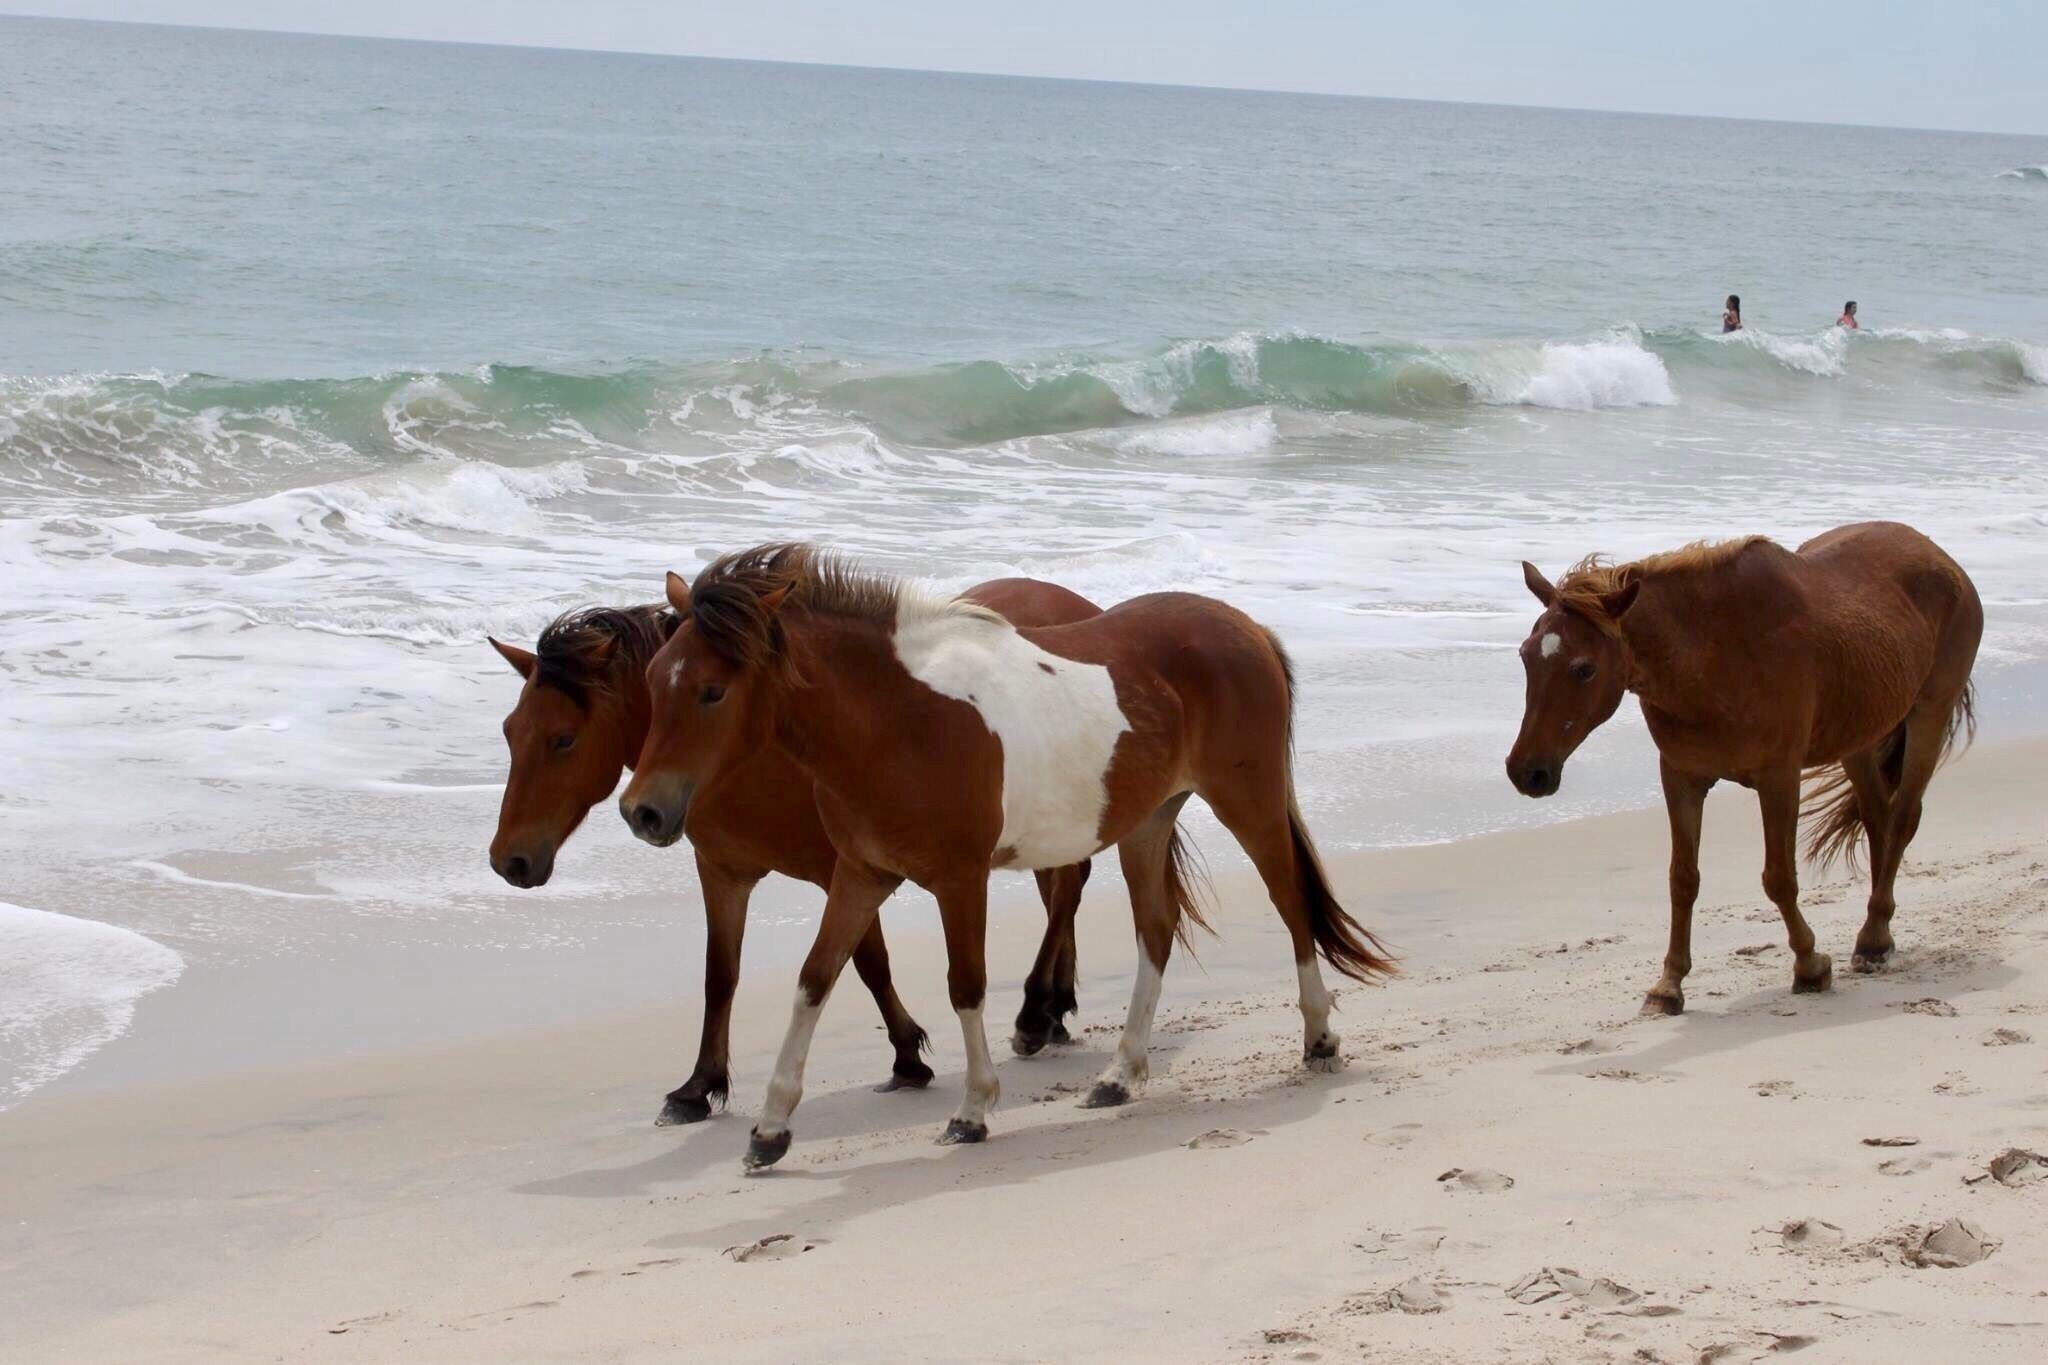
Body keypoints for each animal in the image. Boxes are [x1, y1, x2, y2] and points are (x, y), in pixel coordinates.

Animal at [486, 577, 1104, 1127]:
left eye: (563, 739)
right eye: (510, 731)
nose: (509, 861)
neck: (753, 755)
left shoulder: (844, 870)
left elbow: (868, 965)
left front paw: (908, 1055)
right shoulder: (724, 874)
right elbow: (720, 975)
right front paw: (698, 1087)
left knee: (1067, 892)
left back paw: (1034, 1012)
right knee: (1063, 891)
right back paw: (1054, 1008)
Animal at [618, 543, 1393, 1170]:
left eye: (712, 691)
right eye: (653, 679)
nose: (642, 812)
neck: (895, 719)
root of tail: (1248, 627)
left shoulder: (960, 880)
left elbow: (966, 986)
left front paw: (972, 1110)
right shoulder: (862, 875)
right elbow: (815, 980)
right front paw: (771, 1129)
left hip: (1248, 802)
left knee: (1290, 904)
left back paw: (1319, 1039)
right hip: (1148, 823)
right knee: (1156, 930)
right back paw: (1119, 1075)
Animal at [1506, 522, 1981, 1015]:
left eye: (1584, 669)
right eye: (1525, 655)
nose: (1527, 772)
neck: (1715, 655)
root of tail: (1941, 557)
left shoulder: (1778, 779)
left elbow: (1779, 878)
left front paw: (1810, 965)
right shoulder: (1681, 777)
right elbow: (1683, 879)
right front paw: (1669, 985)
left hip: (1929, 715)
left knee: (1903, 817)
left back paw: (1873, 941)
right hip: (1859, 738)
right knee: (1876, 817)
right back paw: (1876, 932)